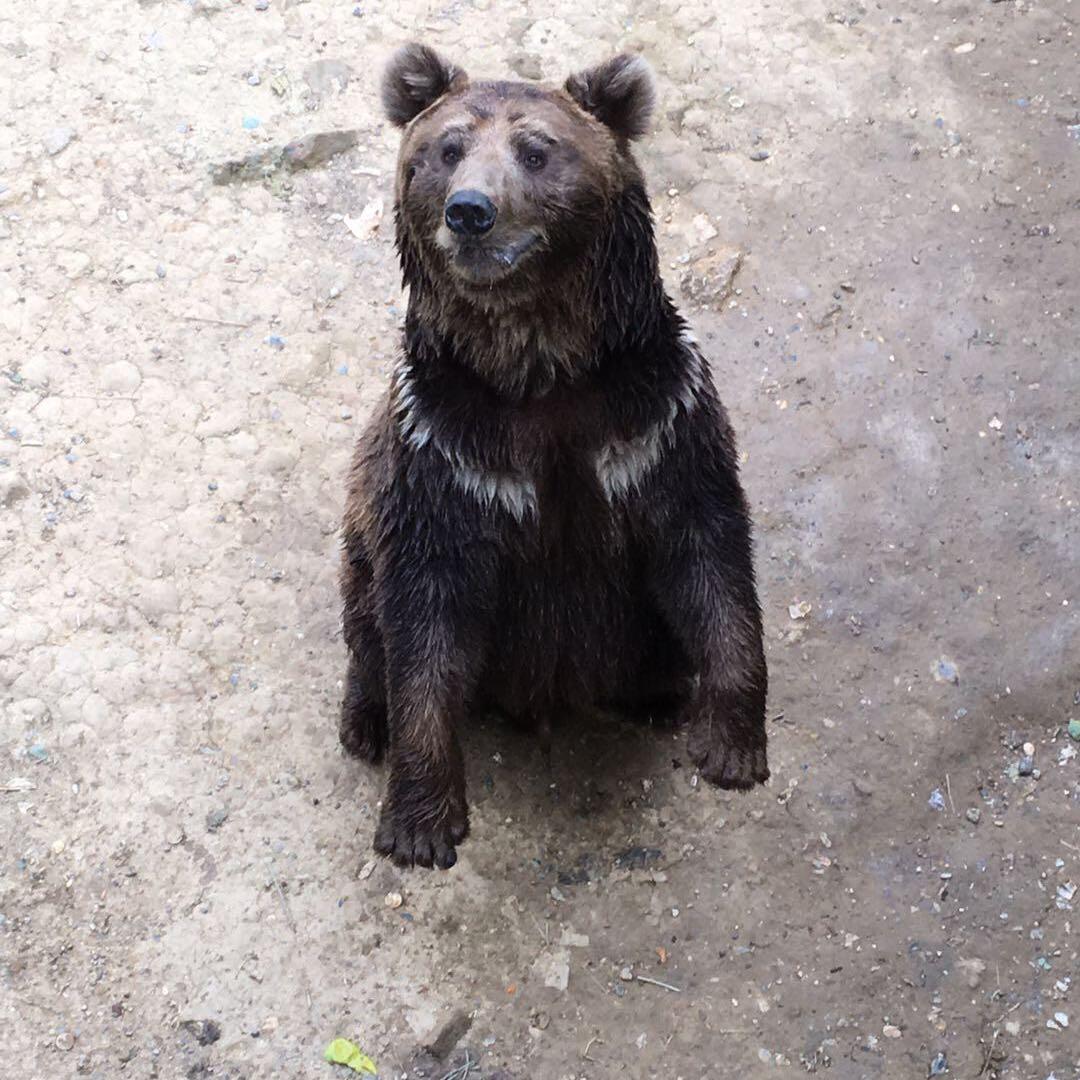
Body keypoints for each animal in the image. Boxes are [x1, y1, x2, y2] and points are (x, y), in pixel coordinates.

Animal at [339, 46, 768, 868]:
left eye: (536, 150)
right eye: (448, 148)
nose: (470, 210)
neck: (538, 370)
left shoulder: (653, 425)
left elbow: (707, 552)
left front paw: (731, 743)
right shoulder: (447, 454)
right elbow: (424, 618)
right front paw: (420, 822)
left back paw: (660, 695)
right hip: (360, 514)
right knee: (364, 611)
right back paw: (363, 720)